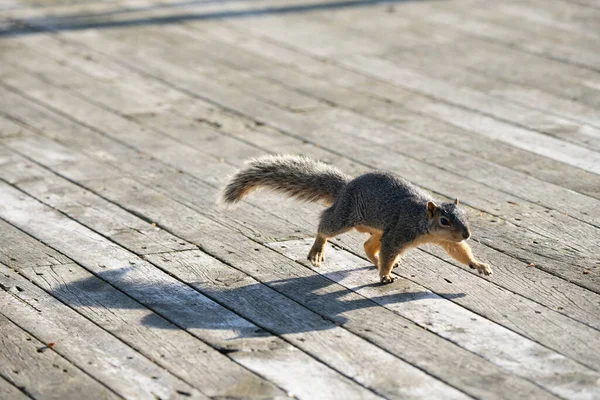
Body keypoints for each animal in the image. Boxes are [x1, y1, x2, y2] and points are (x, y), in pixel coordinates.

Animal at [220, 155, 492, 282]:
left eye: (464, 216)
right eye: (444, 221)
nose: (467, 233)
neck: (422, 222)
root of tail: (345, 187)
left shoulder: (445, 241)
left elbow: (460, 251)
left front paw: (478, 265)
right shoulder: (399, 232)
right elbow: (389, 251)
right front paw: (385, 276)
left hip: (378, 229)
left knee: (368, 246)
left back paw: (379, 261)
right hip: (345, 217)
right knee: (325, 225)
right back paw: (318, 250)